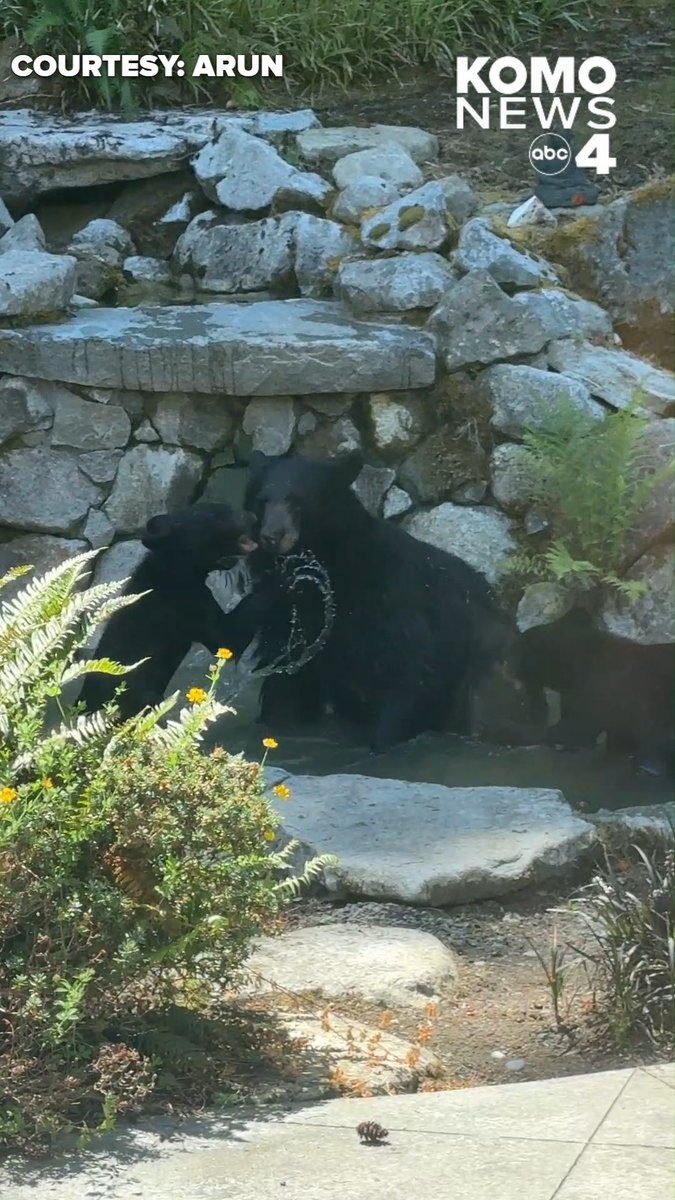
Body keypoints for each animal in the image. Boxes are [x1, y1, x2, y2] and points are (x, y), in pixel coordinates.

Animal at [236, 450, 510, 752]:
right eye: (262, 500)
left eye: (299, 500)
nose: (271, 536)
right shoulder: (287, 616)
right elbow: (287, 684)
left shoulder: (391, 600)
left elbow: (405, 673)